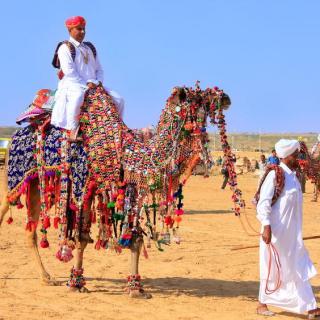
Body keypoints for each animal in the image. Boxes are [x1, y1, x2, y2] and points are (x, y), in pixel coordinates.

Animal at [0, 83, 241, 298]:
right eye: (198, 99)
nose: (227, 98)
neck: (131, 153)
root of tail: (15, 136)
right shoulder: (83, 186)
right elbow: (81, 238)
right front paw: (76, 283)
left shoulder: (131, 189)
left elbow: (135, 237)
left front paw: (136, 288)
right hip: (17, 176)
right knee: (5, 206)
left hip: (36, 184)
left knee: (30, 230)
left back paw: (45, 277)